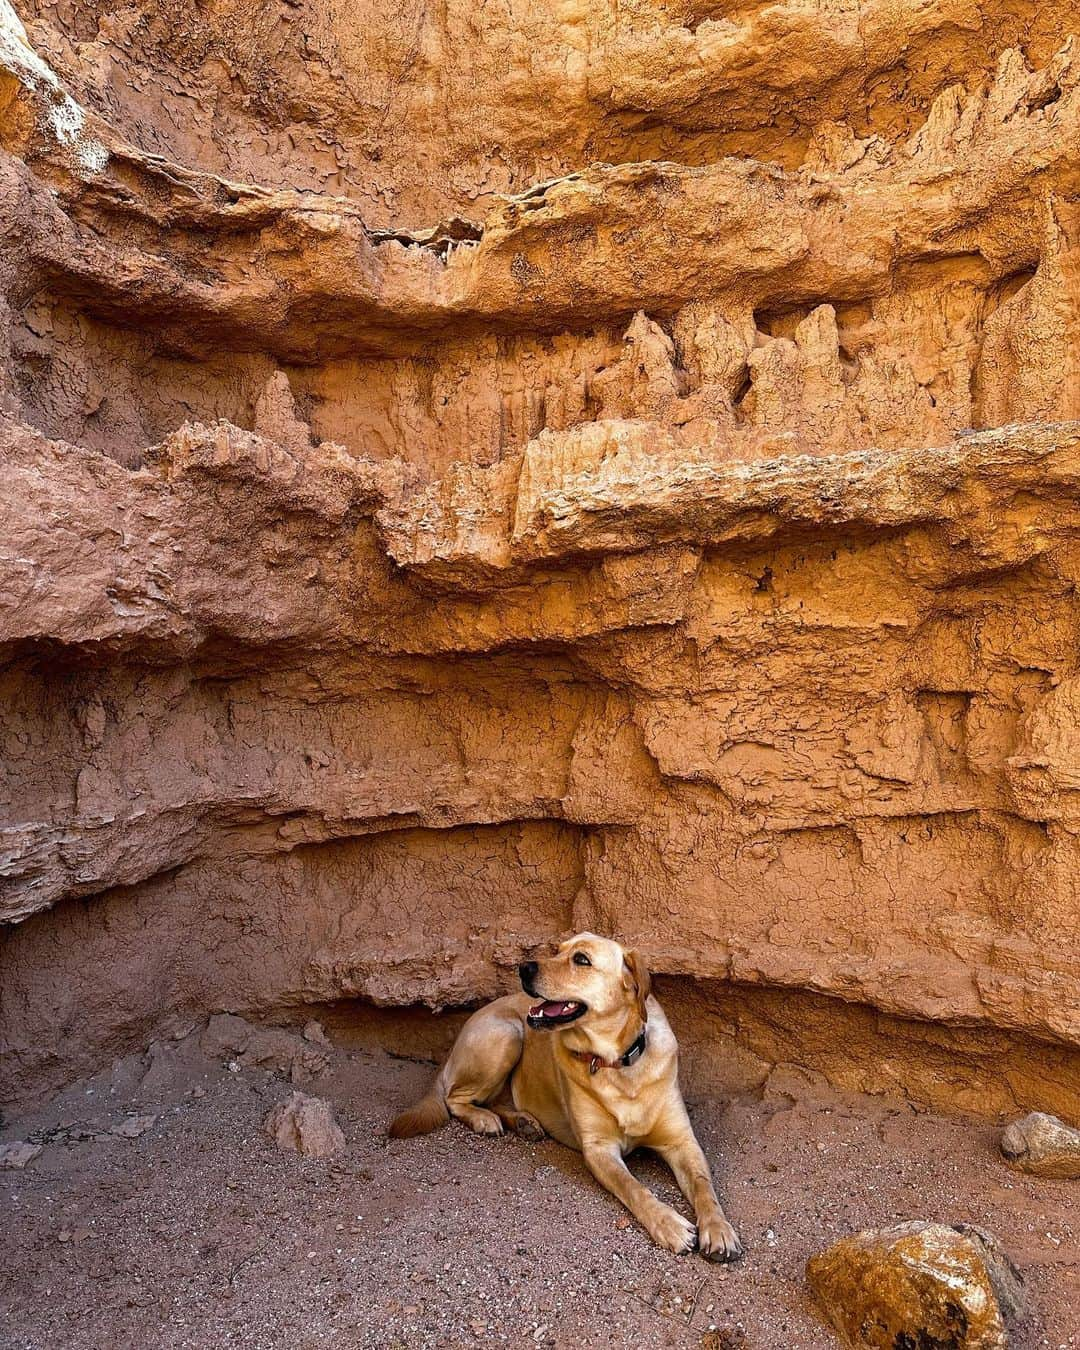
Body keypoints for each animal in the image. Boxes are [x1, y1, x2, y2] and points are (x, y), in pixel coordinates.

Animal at [388, 934, 745, 1258]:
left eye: (581, 960)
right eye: (556, 950)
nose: (523, 967)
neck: (617, 1063)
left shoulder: (682, 1142)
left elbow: (704, 1186)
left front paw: (719, 1229)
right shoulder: (599, 1150)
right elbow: (634, 1188)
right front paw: (669, 1225)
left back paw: (523, 1122)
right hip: (507, 1035)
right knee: (454, 1098)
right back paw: (484, 1120)